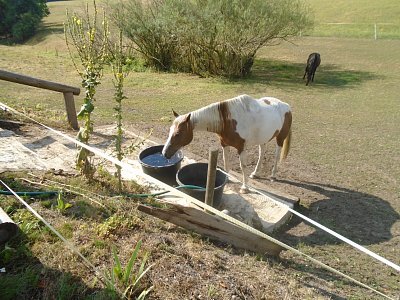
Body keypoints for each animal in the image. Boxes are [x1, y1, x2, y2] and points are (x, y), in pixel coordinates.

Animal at [161, 94, 292, 192]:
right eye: (170, 130)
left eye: (178, 134)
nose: (164, 153)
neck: (227, 120)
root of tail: (286, 106)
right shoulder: (225, 145)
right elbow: (226, 162)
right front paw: (227, 179)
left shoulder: (241, 148)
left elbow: (243, 166)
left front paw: (245, 187)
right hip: (263, 139)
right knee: (262, 153)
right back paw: (255, 173)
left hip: (280, 139)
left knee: (276, 156)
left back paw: (273, 175)